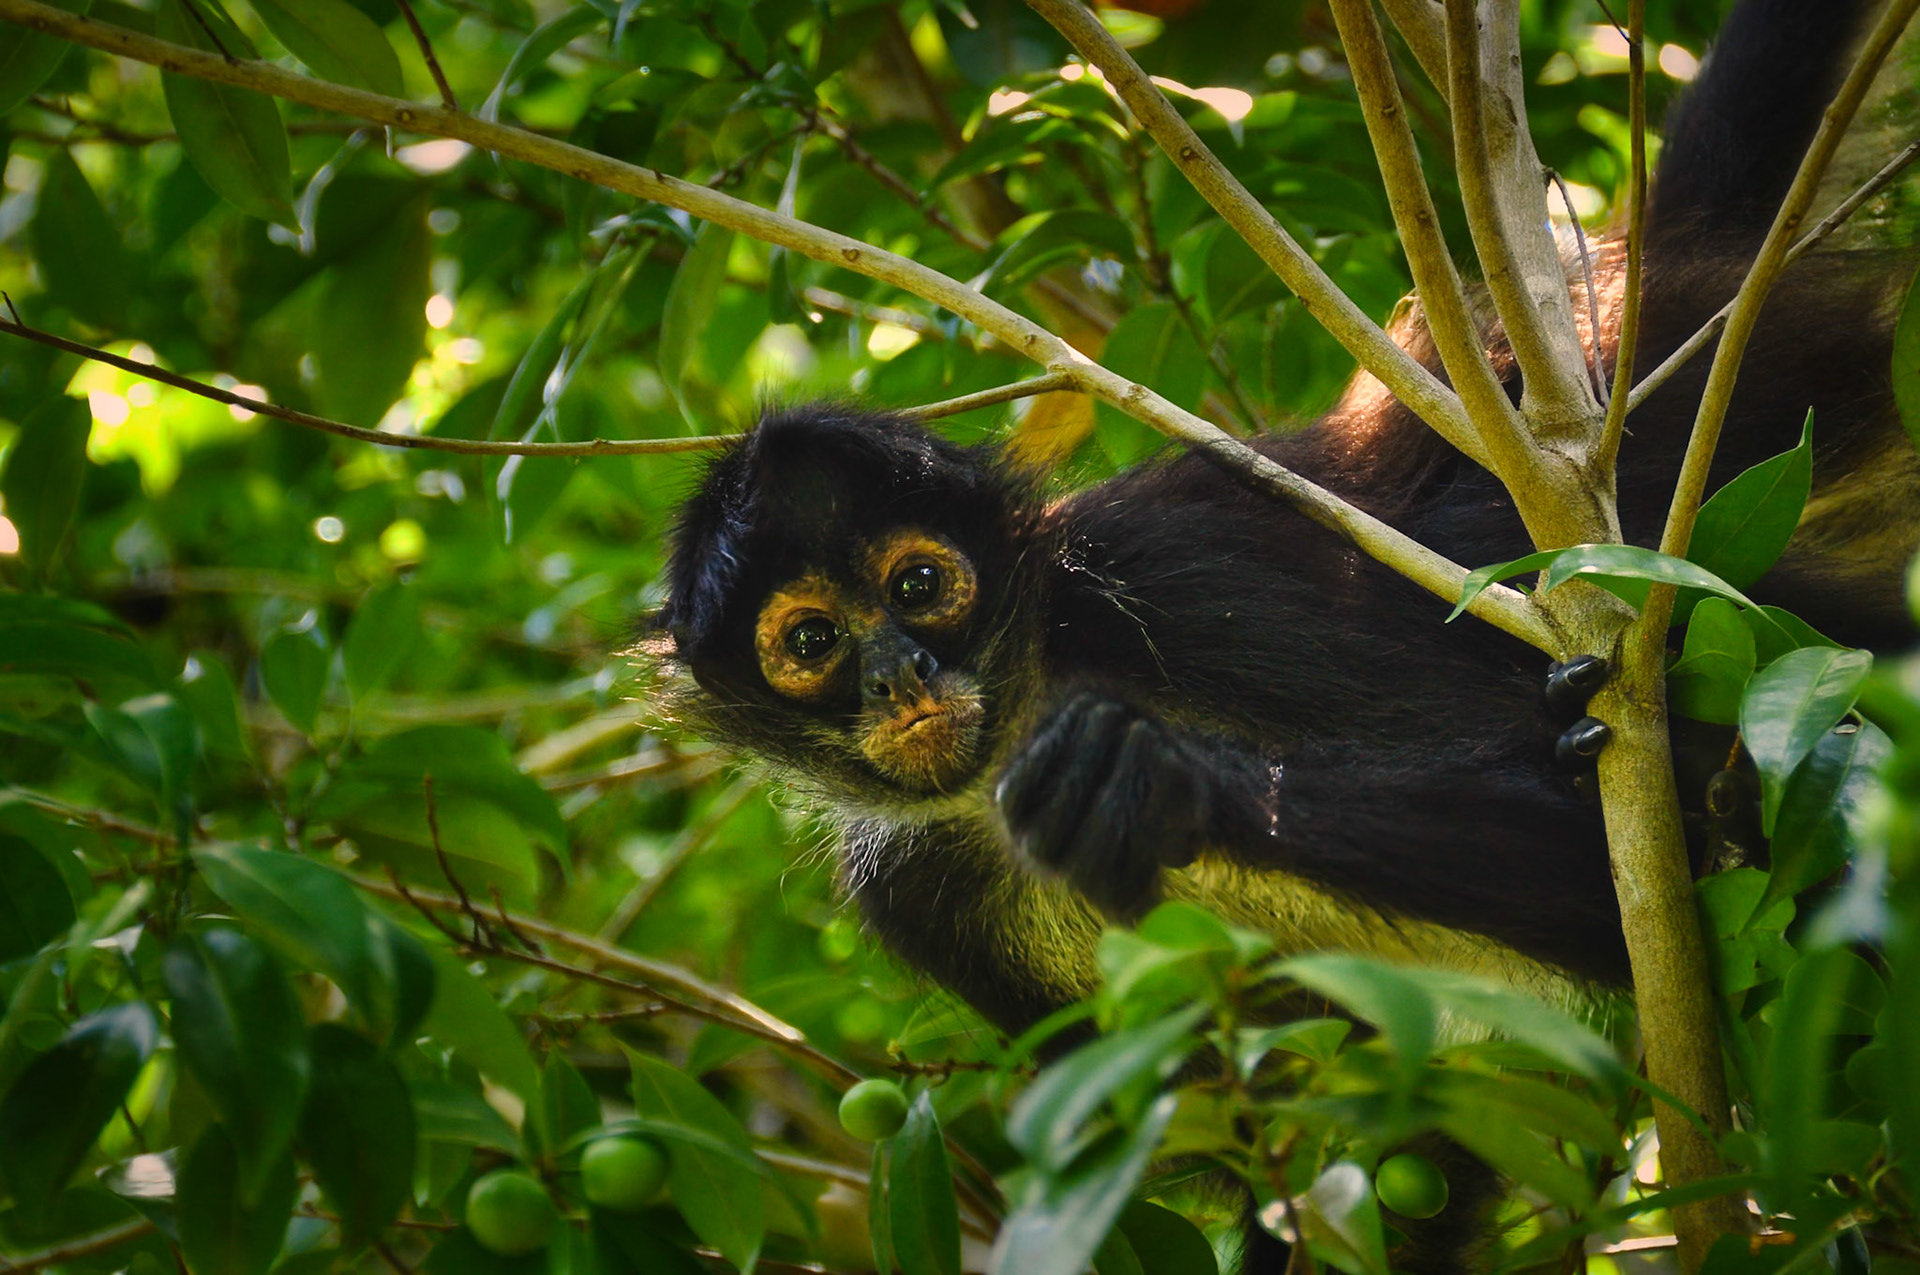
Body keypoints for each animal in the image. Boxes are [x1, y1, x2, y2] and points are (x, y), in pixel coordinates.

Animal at [645, 0, 1918, 1268]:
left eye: (918, 584)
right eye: (813, 644)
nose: (899, 673)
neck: (1026, 701)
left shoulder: (1172, 570)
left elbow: (1641, 859)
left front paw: (1160, 780)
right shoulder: (916, 888)